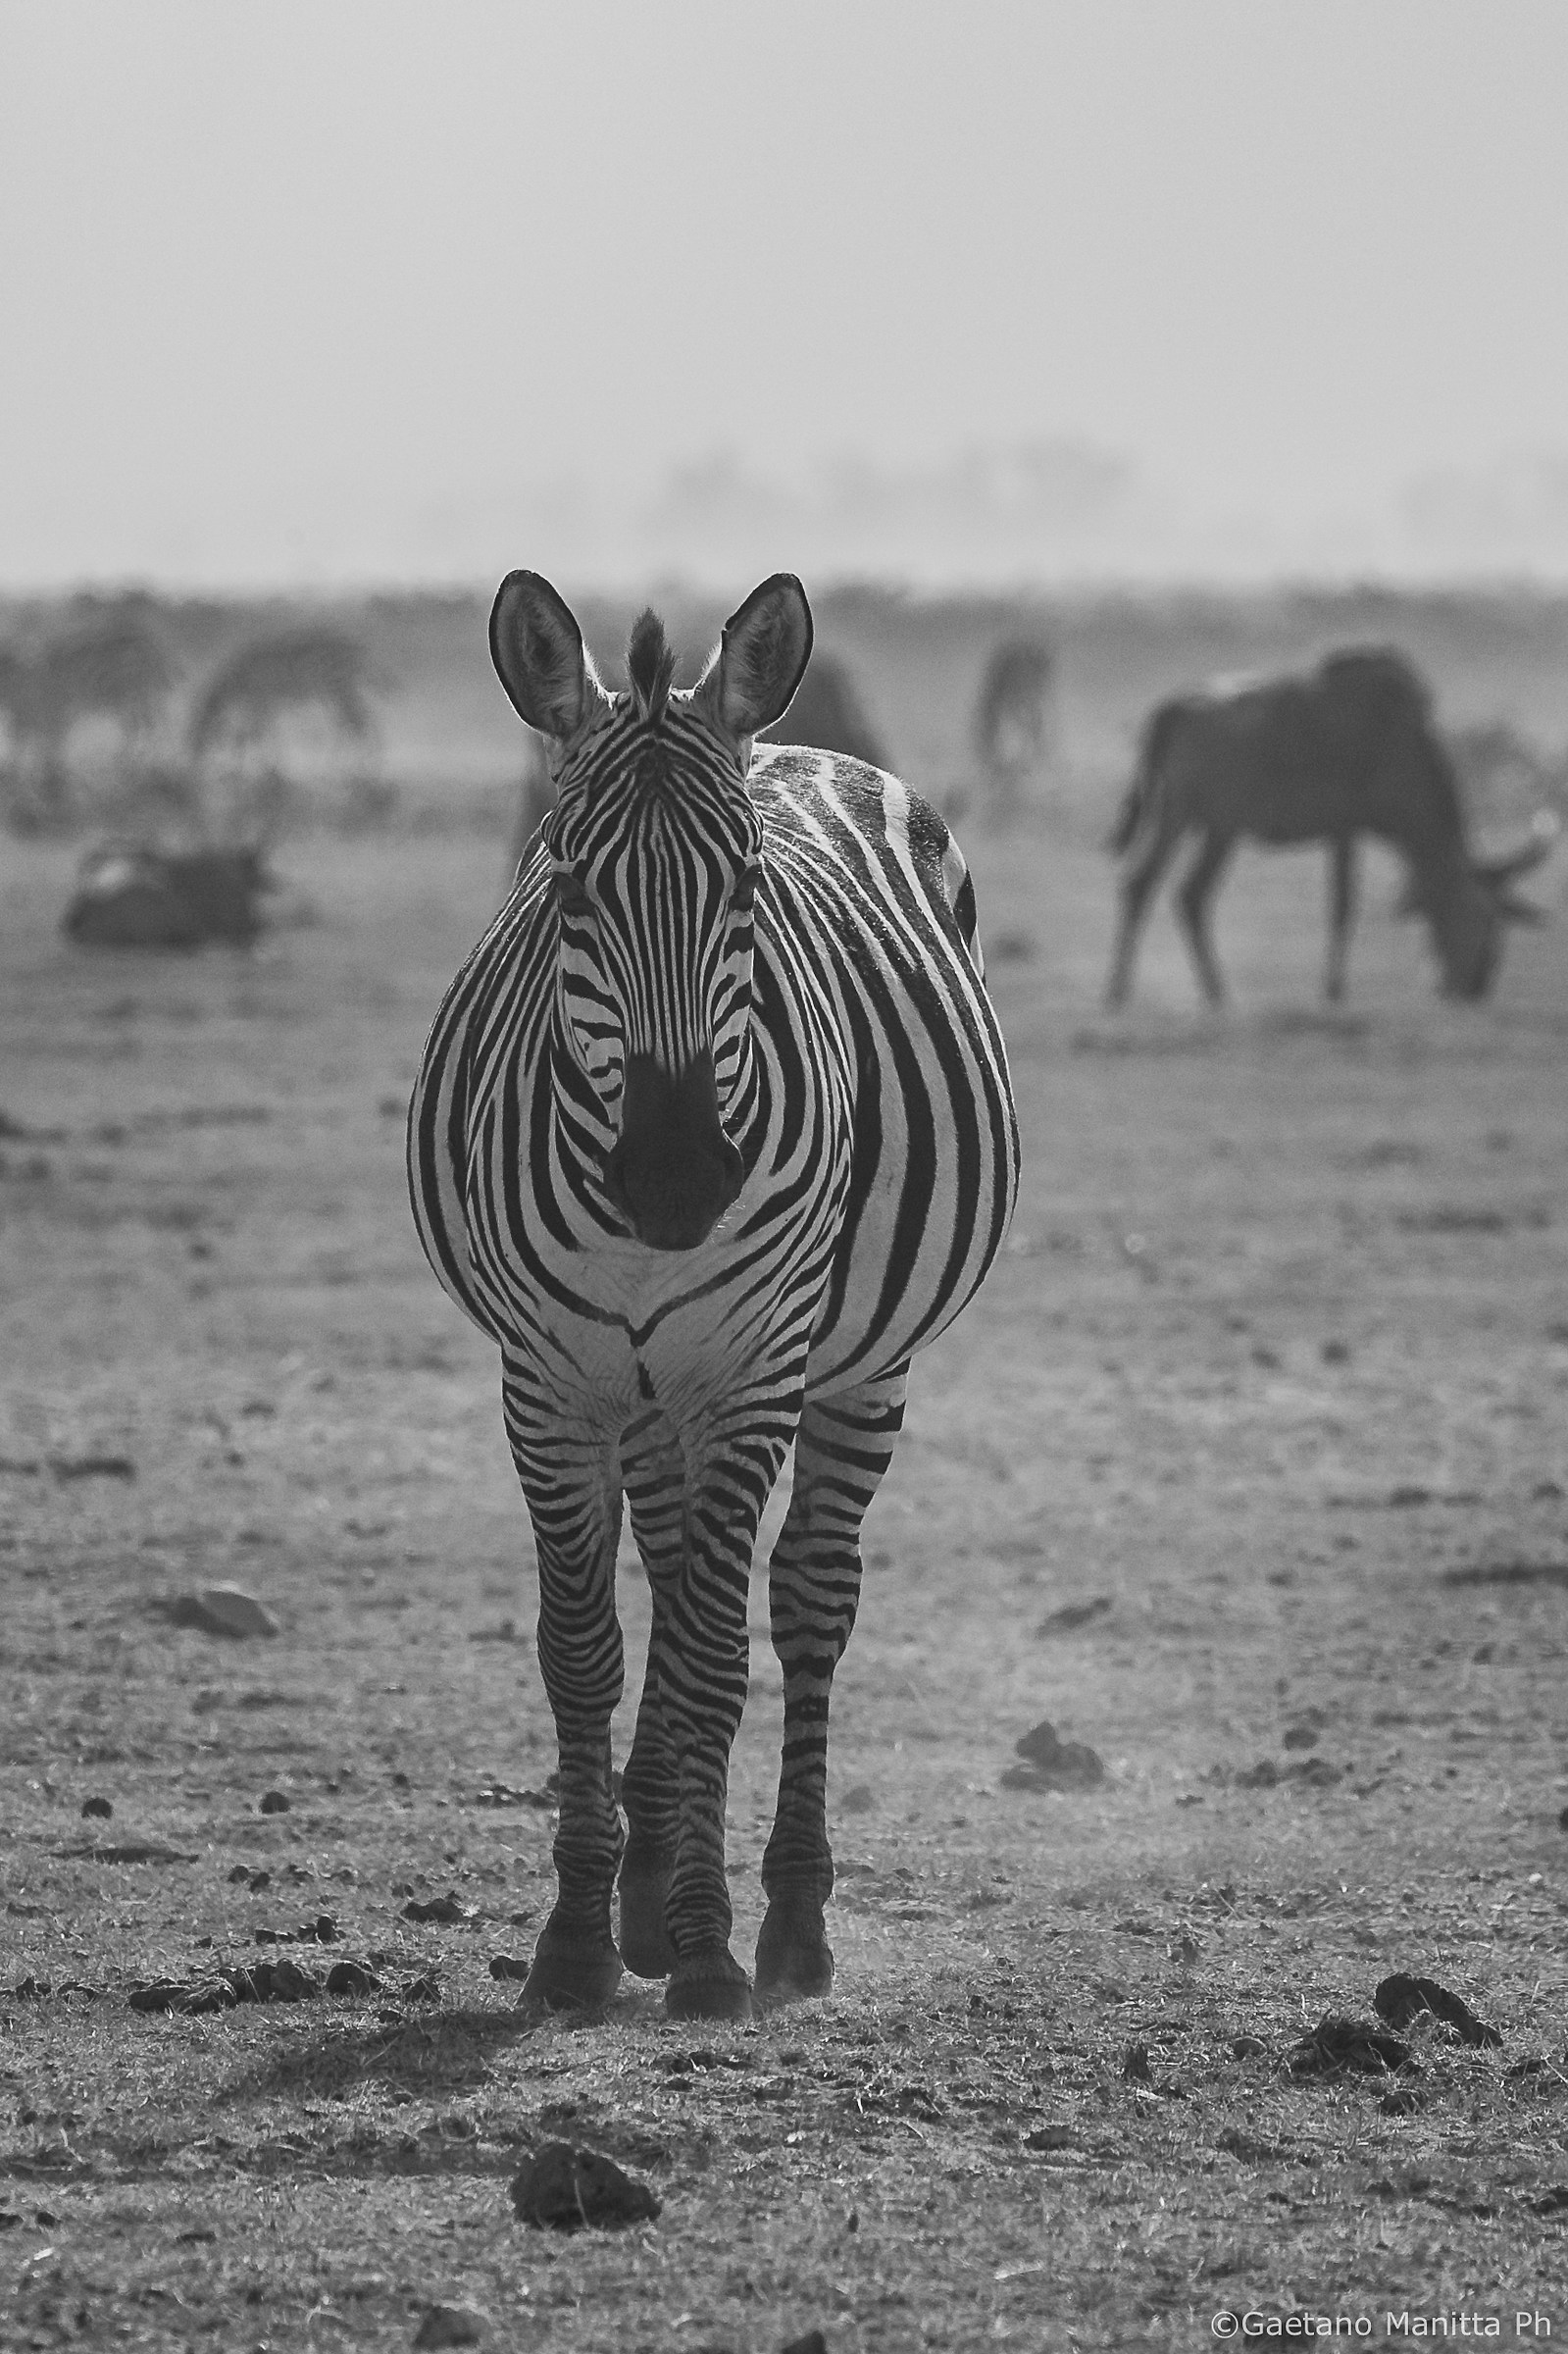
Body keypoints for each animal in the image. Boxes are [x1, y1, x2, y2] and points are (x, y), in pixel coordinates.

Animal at [408, 571, 1019, 2022]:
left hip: (854, 1367)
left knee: (800, 1603)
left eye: (744, 883)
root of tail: (778, 736)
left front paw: (700, 1944)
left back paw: (787, 1919)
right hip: (646, 1389)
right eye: (566, 884)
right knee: (683, 1557)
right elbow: (587, 1647)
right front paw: (582, 1938)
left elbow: (702, 1651)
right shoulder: (548, 1383)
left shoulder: (750, 1374)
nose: (679, 1180)